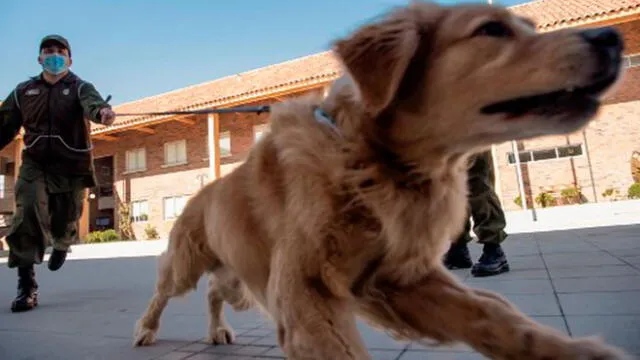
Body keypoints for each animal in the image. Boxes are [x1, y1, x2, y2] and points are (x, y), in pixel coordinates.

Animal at [132, 1, 628, 358]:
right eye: (491, 30)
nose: (612, 37)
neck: (373, 164)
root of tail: (203, 192)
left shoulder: (401, 278)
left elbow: (495, 316)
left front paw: (575, 351)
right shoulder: (304, 291)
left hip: (236, 273)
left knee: (216, 292)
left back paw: (217, 330)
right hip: (185, 263)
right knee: (163, 292)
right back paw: (146, 329)